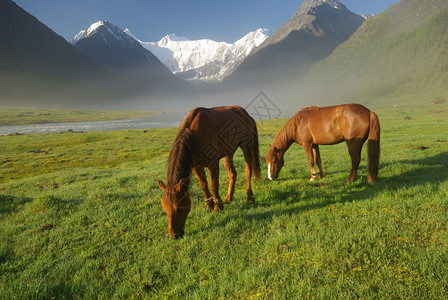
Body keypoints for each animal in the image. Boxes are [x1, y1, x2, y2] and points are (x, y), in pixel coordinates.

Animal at [158, 105, 260, 239]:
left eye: (179, 208)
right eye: (165, 209)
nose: (174, 235)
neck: (194, 133)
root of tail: (247, 114)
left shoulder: (213, 163)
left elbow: (213, 185)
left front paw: (217, 206)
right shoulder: (196, 166)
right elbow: (204, 185)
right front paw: (209, 205)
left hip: (246, 146)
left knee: (248, 170)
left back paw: (249, 197)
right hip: (227, 153)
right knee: (233, 173)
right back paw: (228, 199)